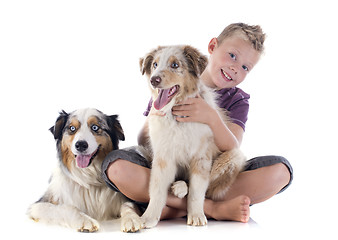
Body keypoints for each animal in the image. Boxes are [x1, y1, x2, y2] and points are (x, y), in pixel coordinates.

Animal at [139, 45, 247, 229]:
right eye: (154, 64)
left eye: (175, 65)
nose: (154, 80)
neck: (176, 115)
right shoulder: (163, 156)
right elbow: (157, 189)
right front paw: (149, 217)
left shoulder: (201, 156)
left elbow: (197, 191)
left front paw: (196, 216)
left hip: (232, 156)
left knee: (208, 190)